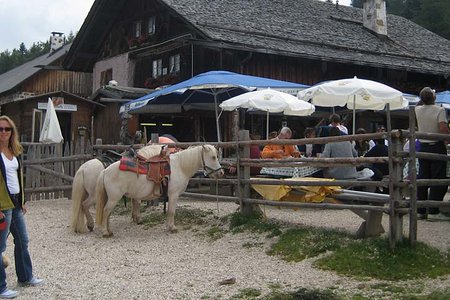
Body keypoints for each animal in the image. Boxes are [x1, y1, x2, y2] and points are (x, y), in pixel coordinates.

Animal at [95, 145, 223, 237]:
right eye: (213, 157)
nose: (221, 173)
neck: (180, 167)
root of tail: (105, 171)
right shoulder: (173, 195)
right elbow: (171, 212)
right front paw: (172, 228)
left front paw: (169, 227)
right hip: (114, 198)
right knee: (106, 211)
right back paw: (105, 232)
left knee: (108, 214)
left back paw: (109, 231)